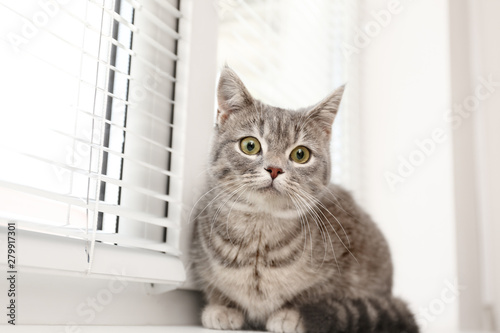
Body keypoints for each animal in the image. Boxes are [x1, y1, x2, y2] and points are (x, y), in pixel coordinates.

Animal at [191, 66, 418, 330]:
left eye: (301, 154)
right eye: (250, 145)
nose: (274, 169)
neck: (259, 235)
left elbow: (319, 294)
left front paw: (290, 315)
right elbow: (215, 287)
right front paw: (223, 307)